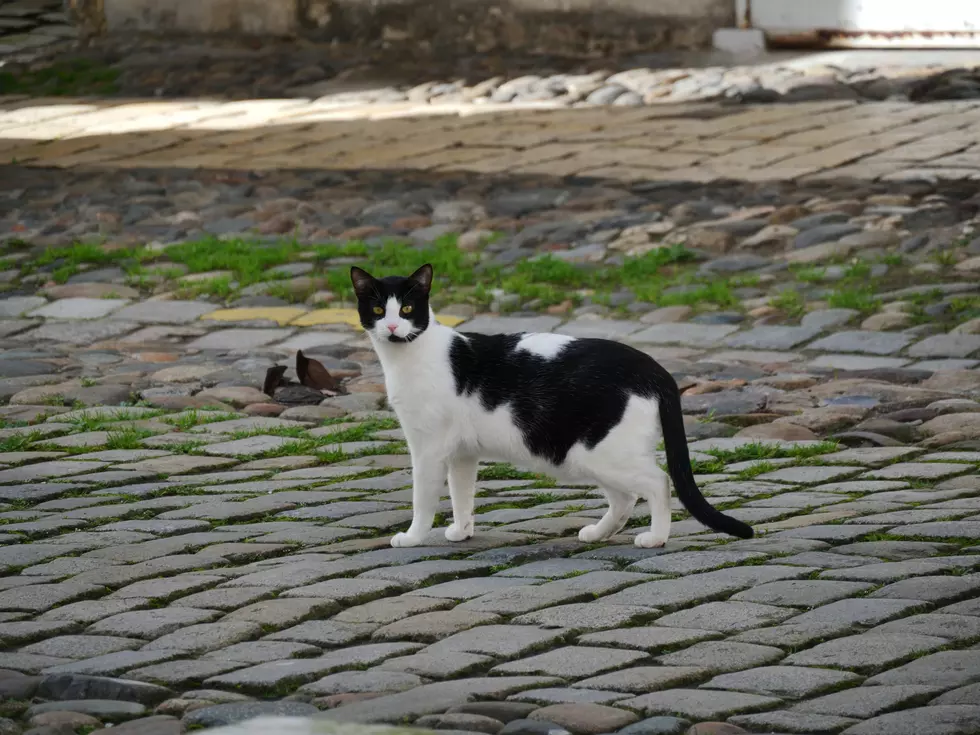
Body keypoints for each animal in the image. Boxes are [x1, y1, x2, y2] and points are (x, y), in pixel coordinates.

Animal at [352, 264, 756, 548]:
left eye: (406, 308)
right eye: (378, 308)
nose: (392, 328)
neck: (410, 354)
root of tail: (653, 367)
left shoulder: (428, 448)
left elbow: (422, 497)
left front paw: (413, 536)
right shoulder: (463, 453)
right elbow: (461, 493)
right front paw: (462, 530)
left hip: (601, 451)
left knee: (658, 482)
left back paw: (655, 538)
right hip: (590, 455)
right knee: (625, 498)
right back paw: (598, 533)